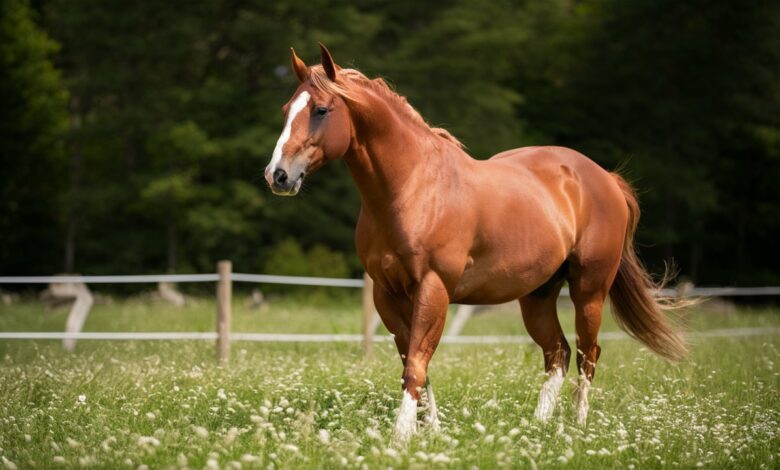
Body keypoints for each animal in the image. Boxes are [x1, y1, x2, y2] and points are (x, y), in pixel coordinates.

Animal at [264, 44, 687, 441]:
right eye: (285, 109)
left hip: (589, 291)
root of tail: (604, 178)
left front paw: (401, 436)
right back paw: (536, 427)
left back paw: (577, 428)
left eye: (321, 109)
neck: (412, 187)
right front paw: (430, 432)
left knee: (588, 353)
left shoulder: (433, 288)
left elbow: (416, 364)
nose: (277, 175)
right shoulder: (387, 294)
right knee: (558, 353)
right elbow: (415, 363)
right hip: (538, 296)